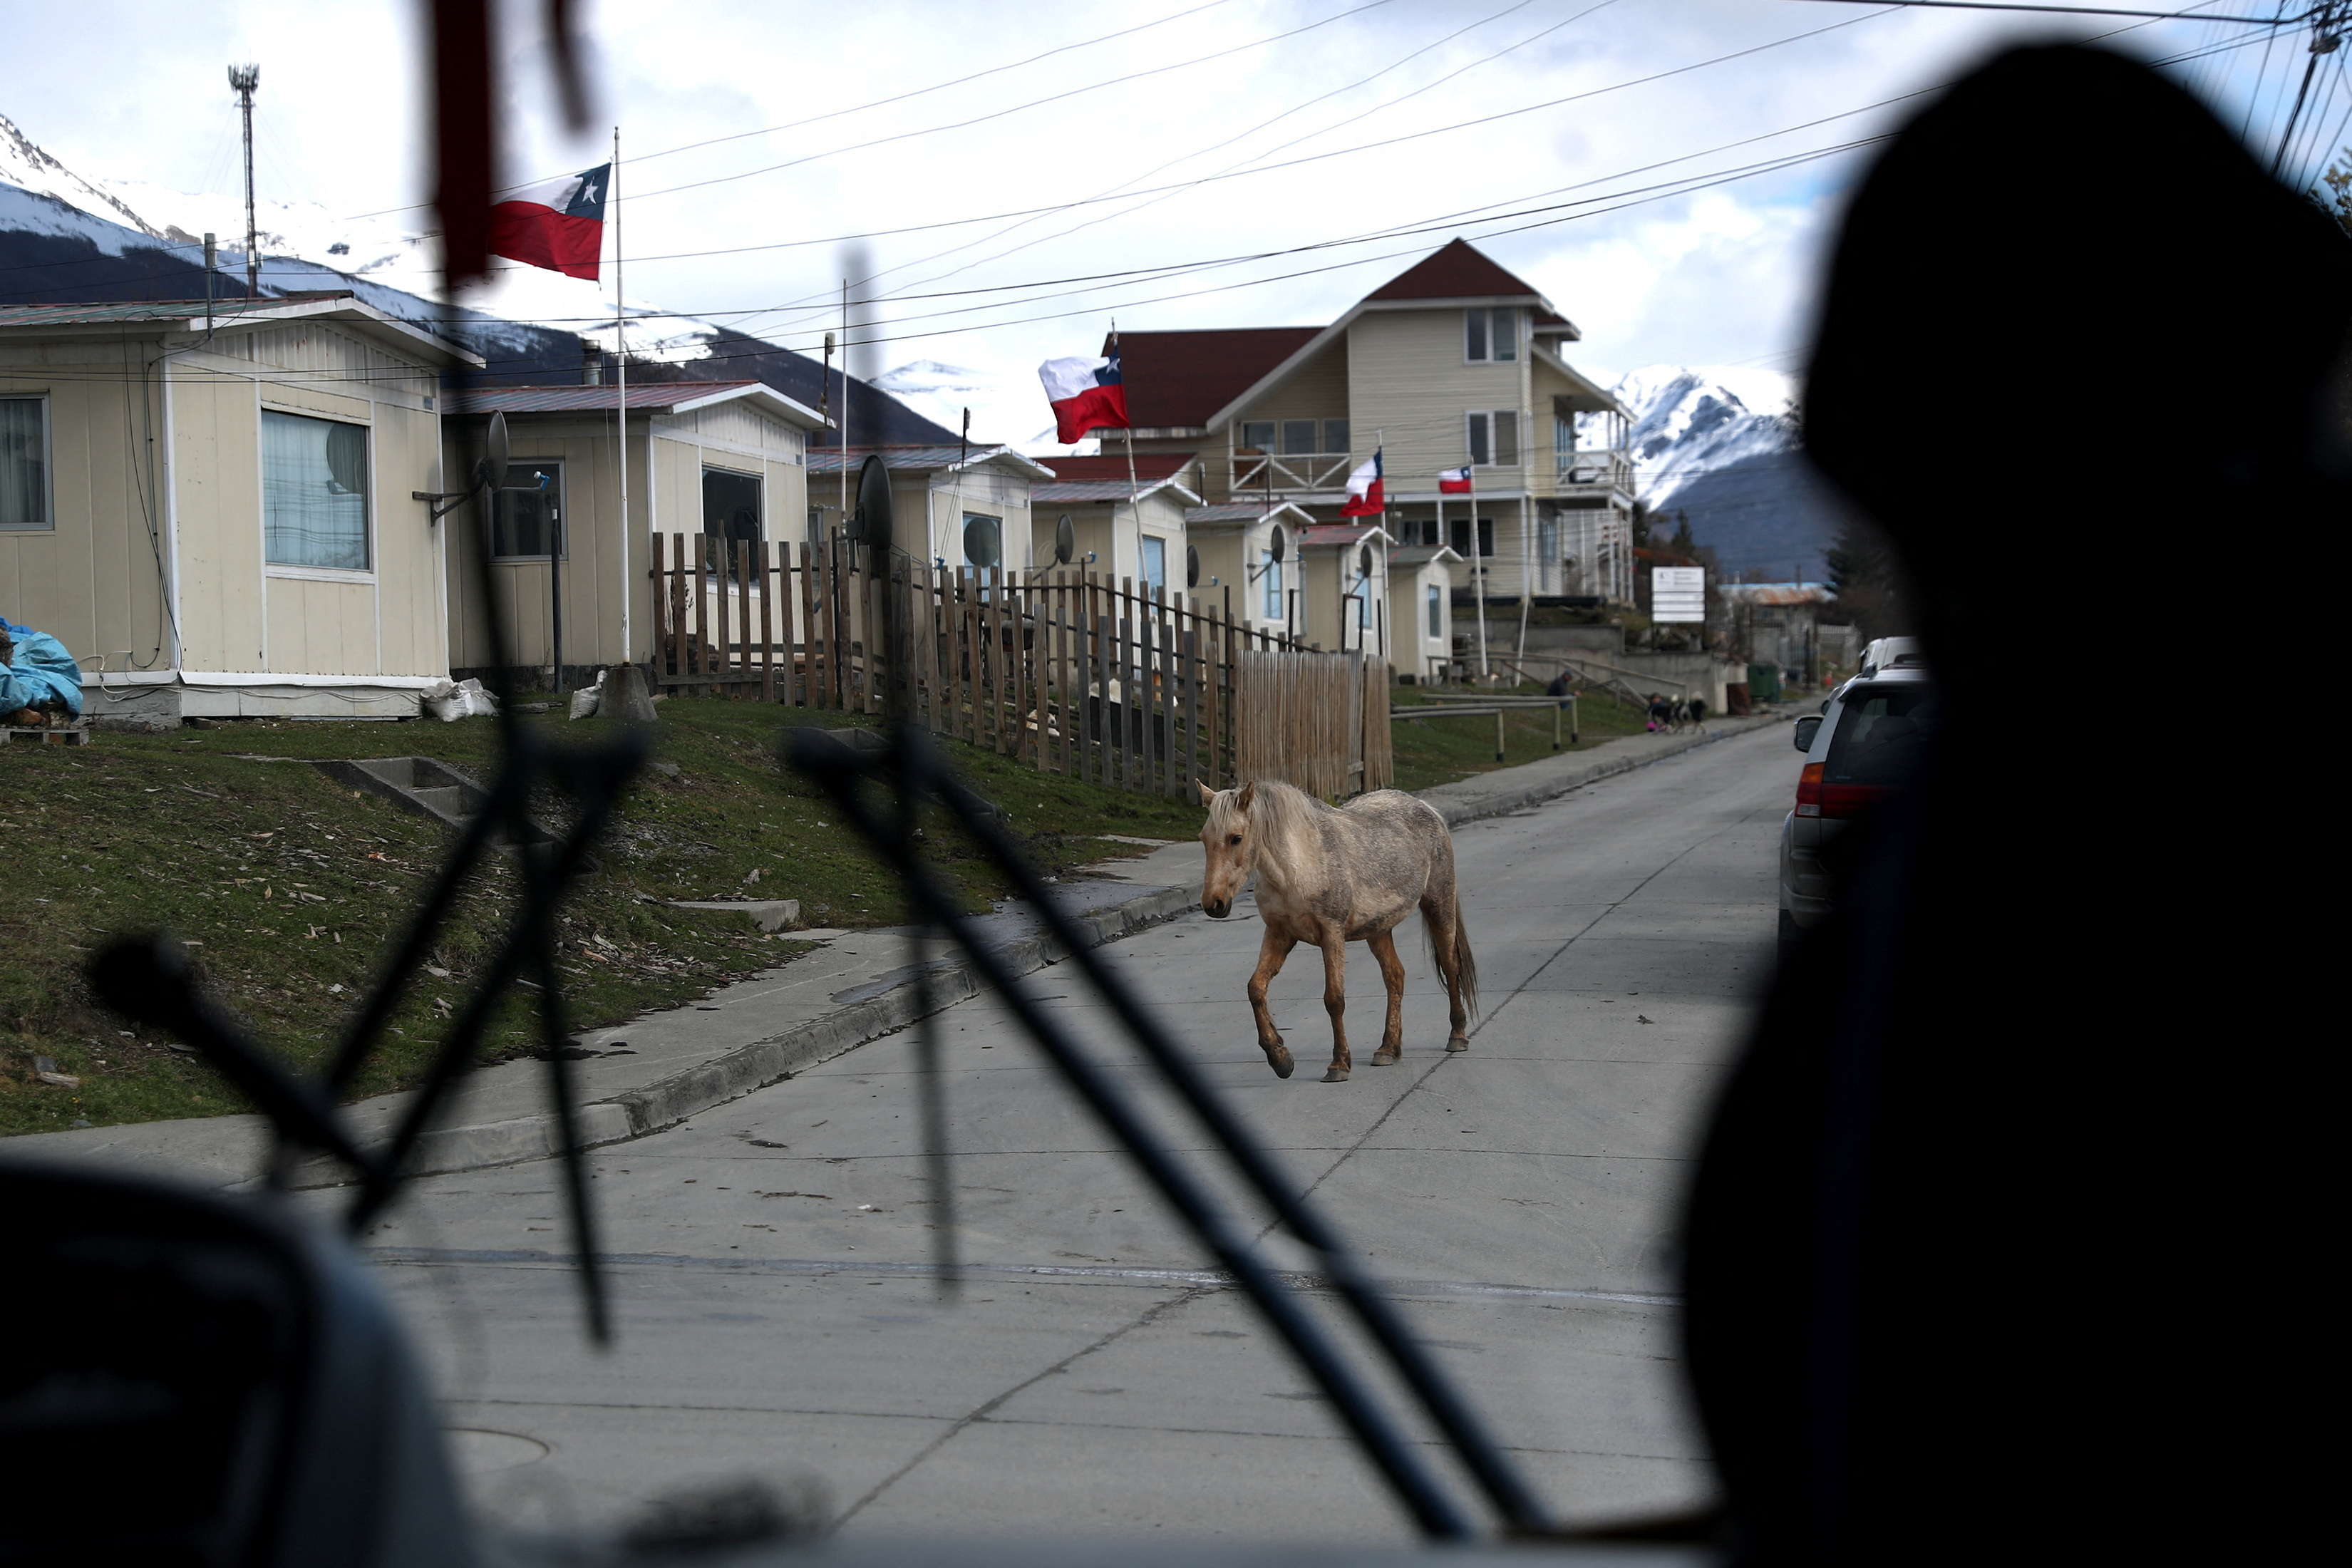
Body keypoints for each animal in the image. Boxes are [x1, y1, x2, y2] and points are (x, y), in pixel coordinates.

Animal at [1204, 780, 1477, 1085]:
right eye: (1204, 838)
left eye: (1236, 838)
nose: (1214, 904)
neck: (1299, 866)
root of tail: (1428, 809)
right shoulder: (1278, 935)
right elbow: (1256, 989)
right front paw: (1280, 1058)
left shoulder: (1331, 934)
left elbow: (1334, 999)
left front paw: (1339, 1064)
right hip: (1378, 930)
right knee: (1395, 976)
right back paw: (1388, 1049)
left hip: (1439, 906)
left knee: (1451, 966)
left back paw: (1457, 1036)